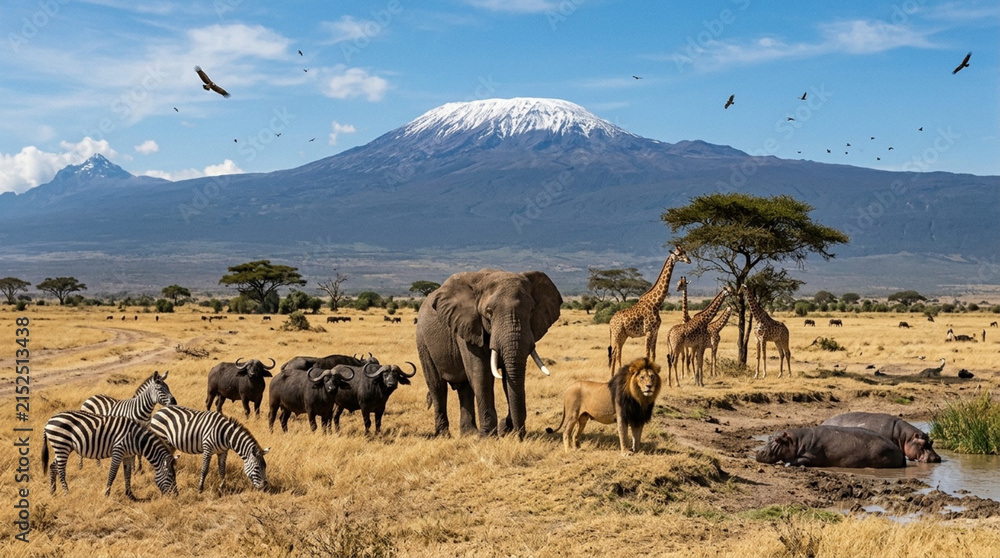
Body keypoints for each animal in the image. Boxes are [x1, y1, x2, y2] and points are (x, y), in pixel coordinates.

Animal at [42, 410, 178, 499]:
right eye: (170, 476)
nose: (176, 496)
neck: (135, 438)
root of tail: (49, 421)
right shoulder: (118, 451)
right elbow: (112, 473)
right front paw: (106, 494)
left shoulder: (127, 455)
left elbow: (127, 474)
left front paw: (130, 495)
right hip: (61, 445)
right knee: (61, 471)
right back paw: (67, 493)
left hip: (62, 447)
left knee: (52, 466)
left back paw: (52, 492)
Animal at [416, 269, 562, 438]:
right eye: (489, 312)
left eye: (532, 310)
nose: (519, 435)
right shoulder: (468, 326)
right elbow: (482, 374)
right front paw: (488, 437)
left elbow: (508, 378)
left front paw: (504, 429)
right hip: (422, 340)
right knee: (437, 386)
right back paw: (444, 435)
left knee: (465, 388)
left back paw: (469, 433)